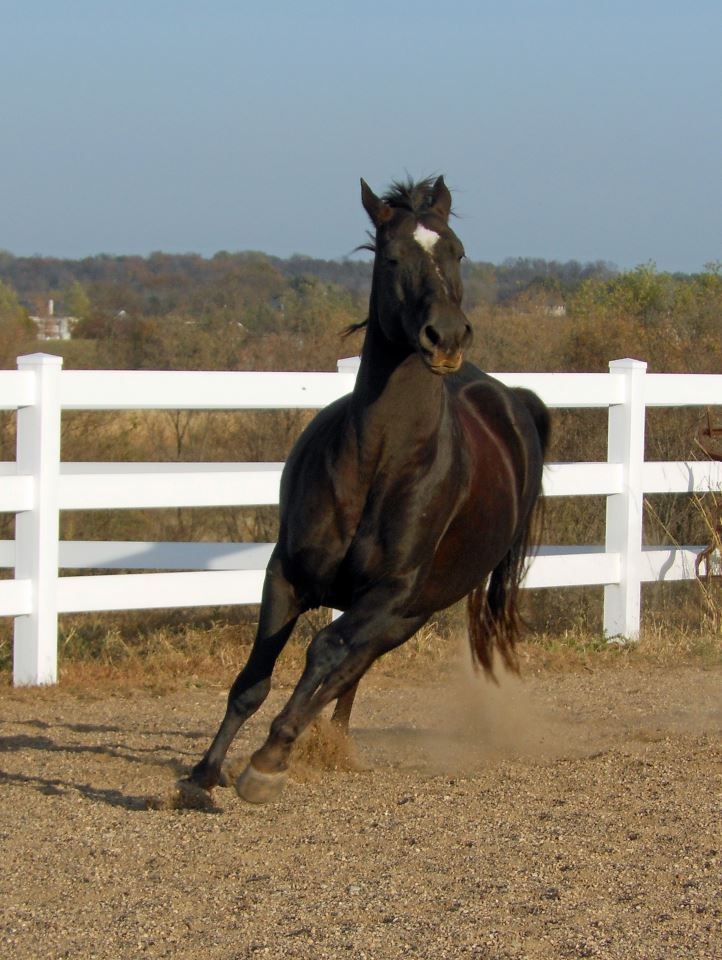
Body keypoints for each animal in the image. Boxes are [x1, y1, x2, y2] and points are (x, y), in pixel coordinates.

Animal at [186, 175, 550, 803]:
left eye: (457, 251)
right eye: (391, 256)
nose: (445, 336)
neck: (380, 464)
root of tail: (507, 398)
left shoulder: (388, 594)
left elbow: (325, 652)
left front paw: (266, 763)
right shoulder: (285, 574)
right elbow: (254, 678)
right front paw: (204, 774)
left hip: (413, 612)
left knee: (347, 666)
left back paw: (297, 748)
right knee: (345, 676)